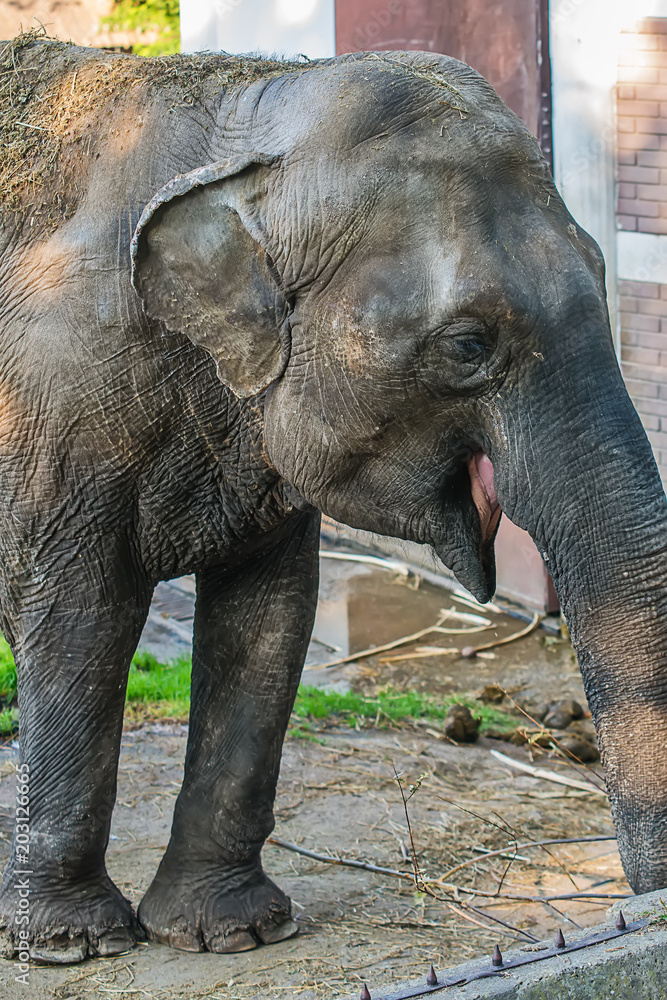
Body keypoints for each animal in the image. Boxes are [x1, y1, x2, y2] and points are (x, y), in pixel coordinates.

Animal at [1, 32, 666, 964]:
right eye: (467, 345)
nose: (644, 911)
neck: (244, 118)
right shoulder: (53, 409)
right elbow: (80, 620)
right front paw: (74, 945)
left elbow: (270, 621)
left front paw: (233, 932)